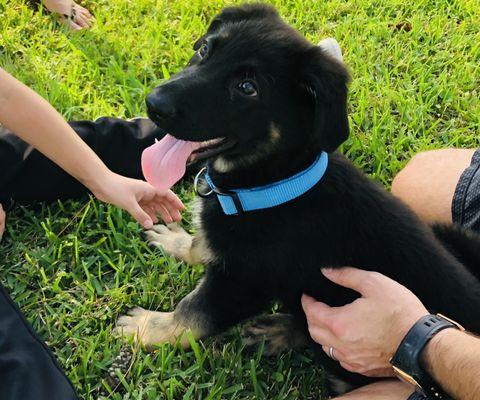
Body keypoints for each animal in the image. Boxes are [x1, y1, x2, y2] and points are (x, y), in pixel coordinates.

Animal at [115, 3, 480, 396]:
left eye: (247, 88)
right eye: (206, 49)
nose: (154, 104)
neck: (275, 183)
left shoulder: (242, 282)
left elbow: (193, 313)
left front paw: (145, 329)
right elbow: (203, 244)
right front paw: (178, 241)